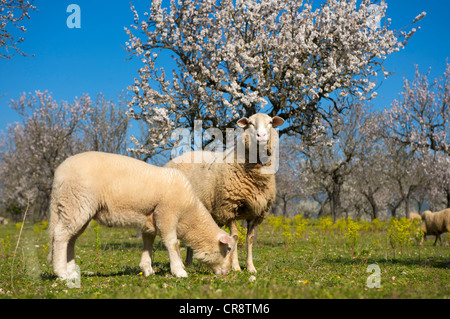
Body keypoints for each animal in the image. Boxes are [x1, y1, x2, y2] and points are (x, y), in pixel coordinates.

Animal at [48, 152, 237, 280]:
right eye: (228, 249)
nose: (227, 272)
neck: (188, 213)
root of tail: (59, 173)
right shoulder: (166, 213)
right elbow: (171, 242)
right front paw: (179, 270)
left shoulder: (150, 219)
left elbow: (148, 242)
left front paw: (147, 269)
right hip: (75, 202)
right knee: (61, 235)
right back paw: (61, 273)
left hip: (74, 208)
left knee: (71, 239)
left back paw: (72, 272)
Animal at [165, 114, 284, 274]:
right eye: (250, 123)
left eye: (270, 122)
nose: (262, 136)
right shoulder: (228, 207)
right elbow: (235, 237)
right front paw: (236, 266)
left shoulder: (257, 213)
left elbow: (250, 238)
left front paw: (251, 267)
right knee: (176, 240)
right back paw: (181, 266)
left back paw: (188, 263)